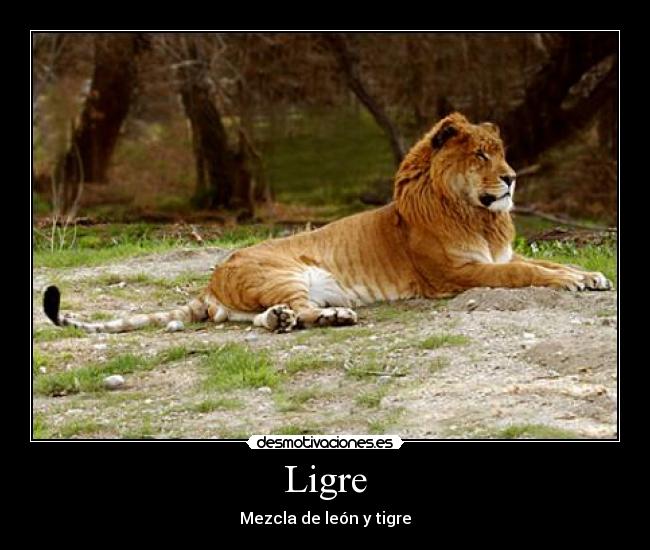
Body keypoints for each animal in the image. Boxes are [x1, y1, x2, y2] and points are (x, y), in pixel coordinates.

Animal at [42, 112, 612, 334]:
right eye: (480, 155)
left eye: (502, 152)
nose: (513, 179)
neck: (479, 214)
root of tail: (211, 279)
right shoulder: (457, 274)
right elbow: (526, 272)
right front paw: (574, 282)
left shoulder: (496, 254)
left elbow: (545, 262)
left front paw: (589, 275)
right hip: (287, 271)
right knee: (286, 311)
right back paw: (330, 317)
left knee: (259, 320)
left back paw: (290, 320)